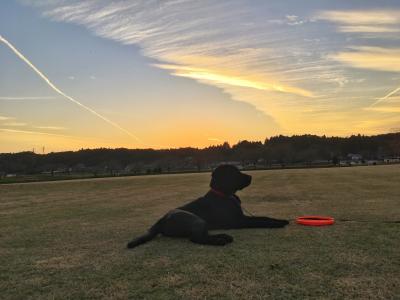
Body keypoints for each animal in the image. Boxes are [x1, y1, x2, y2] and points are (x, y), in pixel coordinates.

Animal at [126, 165, 290, 247]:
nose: (251, 176)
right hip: (195, 219)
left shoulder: (242, 217)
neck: (224, 194)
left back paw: (223, 237)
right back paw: (220, 240)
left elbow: (263, 217)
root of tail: (160, 220)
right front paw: (275, 224)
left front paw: (280, 220)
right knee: (196, 238)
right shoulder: (238, 221)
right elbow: (260, 221)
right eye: (235, 172)